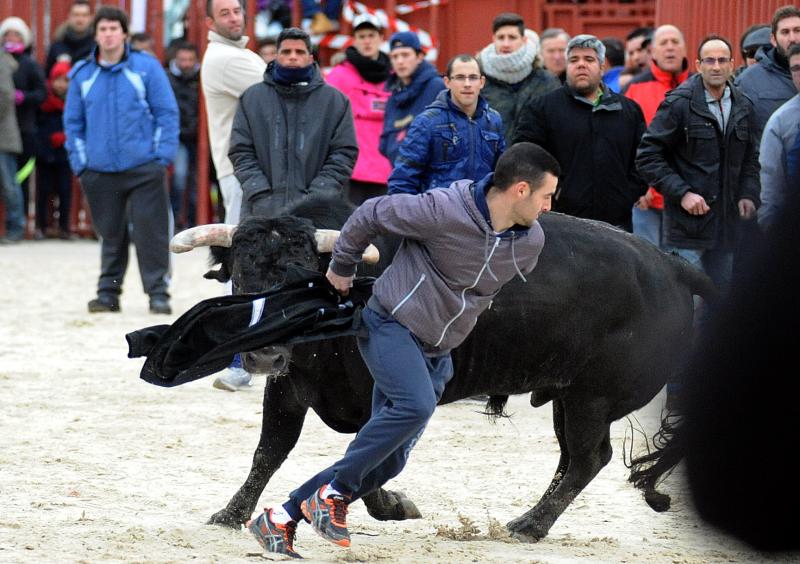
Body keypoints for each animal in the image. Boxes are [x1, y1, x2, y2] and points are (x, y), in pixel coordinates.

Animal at [191, 198, 716, 540]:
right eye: (242, 276)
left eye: (302, 279)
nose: (264, 357)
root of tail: (670, 265)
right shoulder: (288, 388)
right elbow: (269, 452)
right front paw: (231, 513)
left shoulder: (389, 397)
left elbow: (365, 457)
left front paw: (394, 507)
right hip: (569, 398)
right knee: (573, 459)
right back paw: (530, 520)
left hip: (593, 397)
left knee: (588, 459)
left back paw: (529, 526)